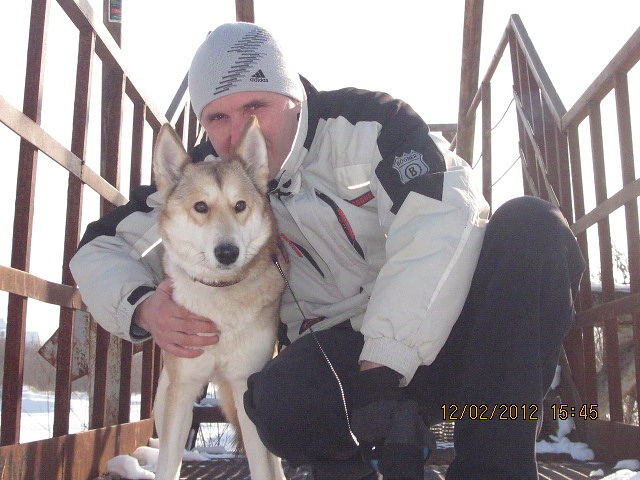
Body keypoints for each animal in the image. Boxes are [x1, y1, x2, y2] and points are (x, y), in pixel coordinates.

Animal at [151, 117, 287, 480]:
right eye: (201, 207)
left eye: (240, 206)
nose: (227, 252)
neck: (220, 294)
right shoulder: (183, 390)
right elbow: (167, 465)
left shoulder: (244, 384)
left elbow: (262, 466)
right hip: (163, 398)